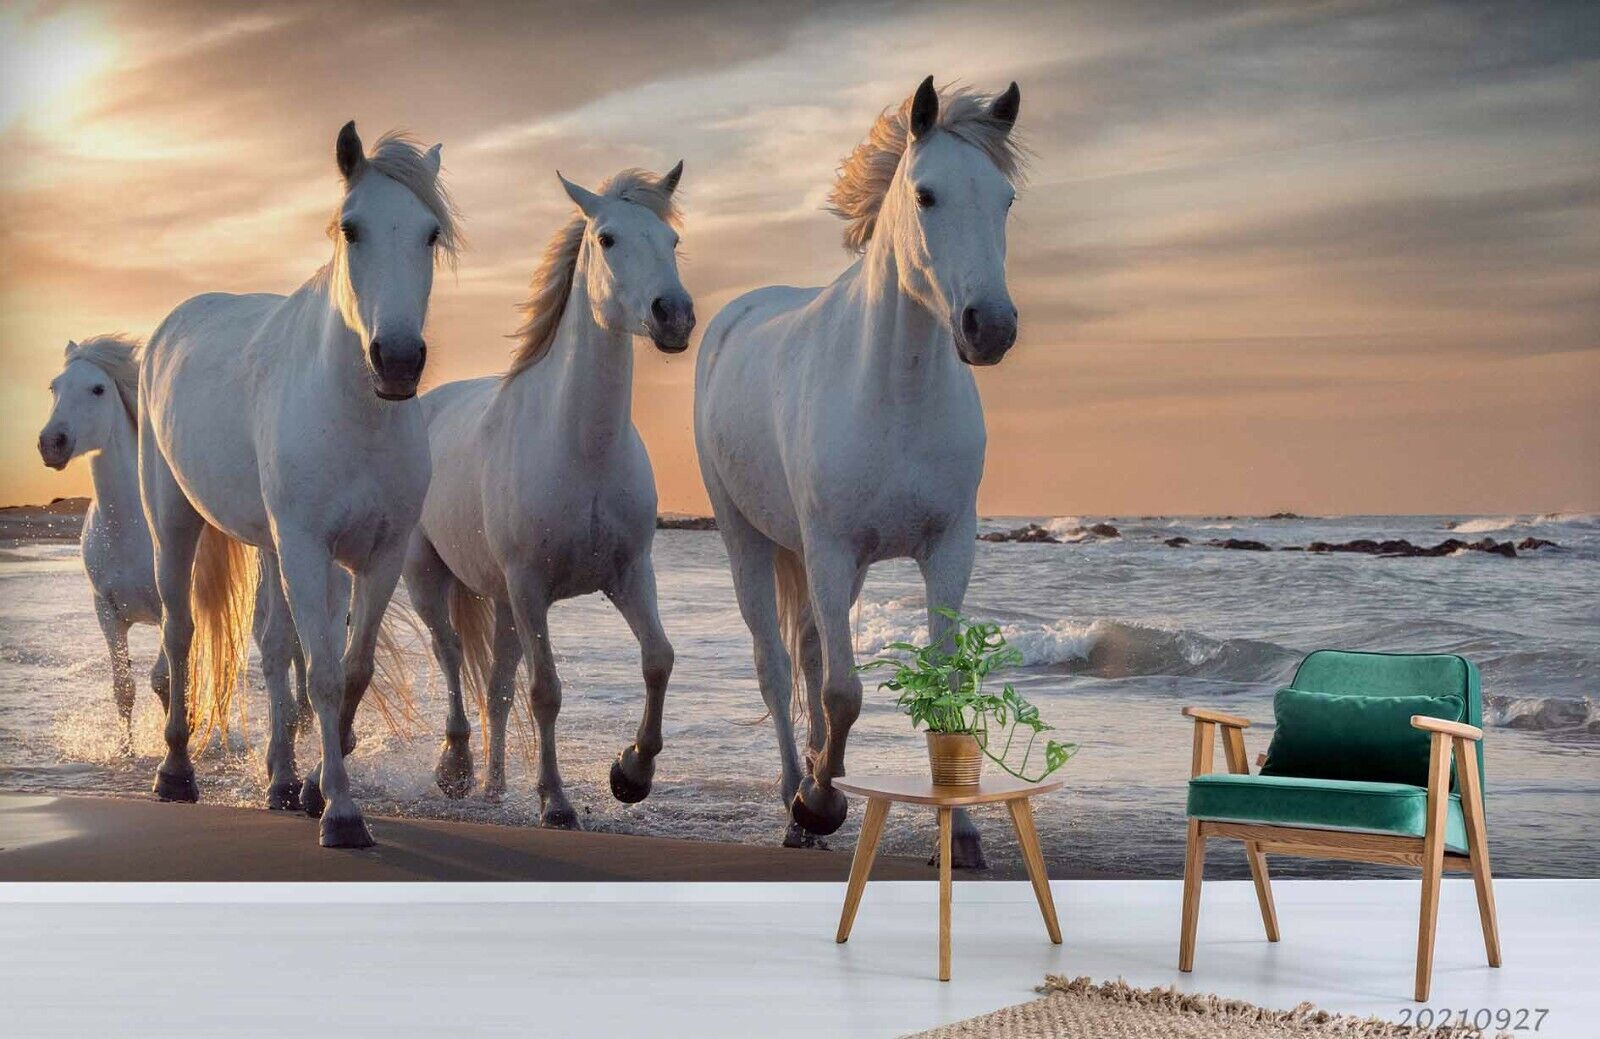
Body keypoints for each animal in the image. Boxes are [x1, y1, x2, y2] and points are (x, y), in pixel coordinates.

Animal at [37, 335, 309, 756]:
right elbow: (125, 688)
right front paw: (127, 751)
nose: (52, 443)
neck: (126, 527)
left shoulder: (171, 604)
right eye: (54, 387)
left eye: (98, 389)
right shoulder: (107, 612)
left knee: (294, 649)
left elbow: (163, 679)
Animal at [139, 123, 458, 847]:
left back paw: (282, 781)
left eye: (429, 233)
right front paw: (341, 813)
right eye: (352, 228)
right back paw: (175, 772)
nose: (398, 361)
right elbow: (324, 675)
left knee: (273, 646)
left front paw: (315, 788)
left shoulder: (378, 555)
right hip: (173, 521)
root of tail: (171, 326)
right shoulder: (308, 549)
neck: (355, 413)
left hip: (271, 545)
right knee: (180, 631)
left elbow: (351, 668)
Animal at [403, 164, 691, 826]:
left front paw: (631, 774)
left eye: (672, 241)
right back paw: (456, 770)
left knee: (496, 686)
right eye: (607, 239)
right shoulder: (532, 585)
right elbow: (546, 692)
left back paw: (493, 787)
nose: (673, 315)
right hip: (430, 577)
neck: (580, 448)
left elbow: (658, 659)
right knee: (451, 655)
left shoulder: (629, 574)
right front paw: (556, 802)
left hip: (504, 602)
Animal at [694, 78, 1024, 866]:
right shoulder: (830, 547)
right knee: (778, 668)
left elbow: (942, 684)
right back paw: (798, 798)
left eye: (1005, 200)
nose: (991, 327)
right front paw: (818, 804)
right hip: (748, 539)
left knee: (812, 653)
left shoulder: (947, 549)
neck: (894, 393)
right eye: (927, 195)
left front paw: (962, 834)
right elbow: (843, 693)